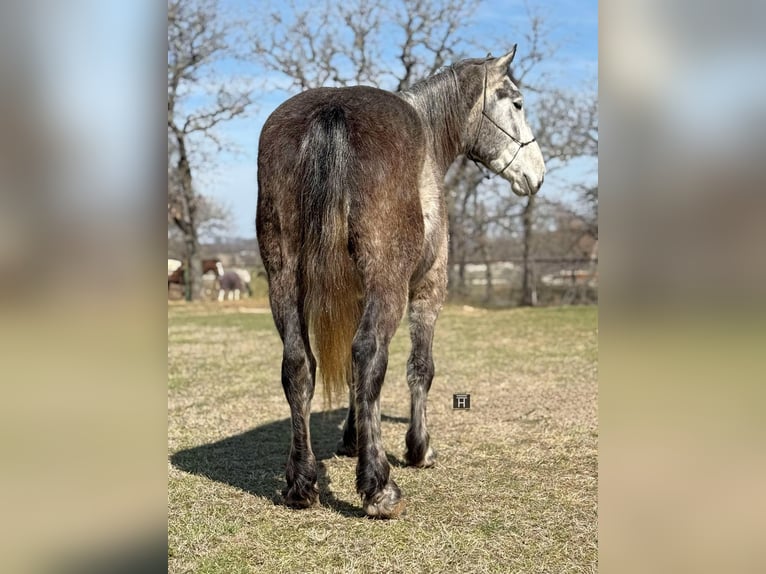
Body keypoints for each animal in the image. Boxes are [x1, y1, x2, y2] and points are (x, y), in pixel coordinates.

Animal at [256, 47, 545, 518]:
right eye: (517, 103)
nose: (537, 174)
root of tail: (331, 111)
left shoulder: (355, 295)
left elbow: (353, 379)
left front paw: (353, 438)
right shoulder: (429, 288)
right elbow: (419, 368)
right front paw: (418, 448)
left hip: (282, 281)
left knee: (299, 365)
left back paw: (301, 483)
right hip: (388, 284)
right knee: (369, 354)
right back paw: (379, 488)